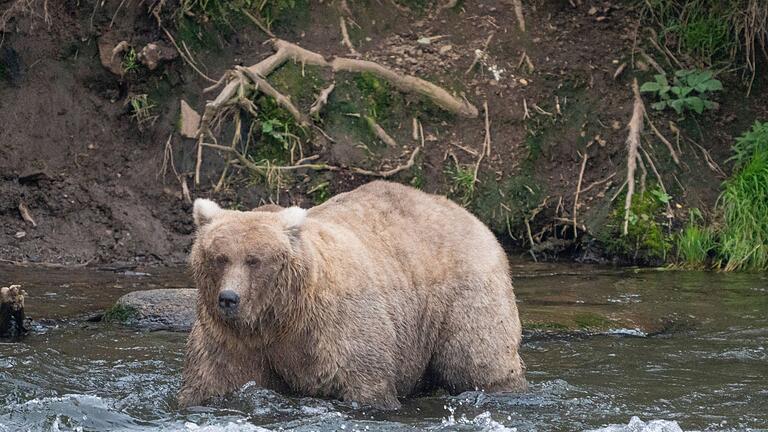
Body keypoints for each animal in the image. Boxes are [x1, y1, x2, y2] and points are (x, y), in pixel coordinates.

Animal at [180, 180, 528, 408]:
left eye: (254, 260)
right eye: (219, 257)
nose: (229, 298)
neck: (279, 317)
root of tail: (470, 215)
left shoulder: (335, 328)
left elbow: (364, 381)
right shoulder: (232, 339)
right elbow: (213, 380)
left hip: (463, 295)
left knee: (478, 359)